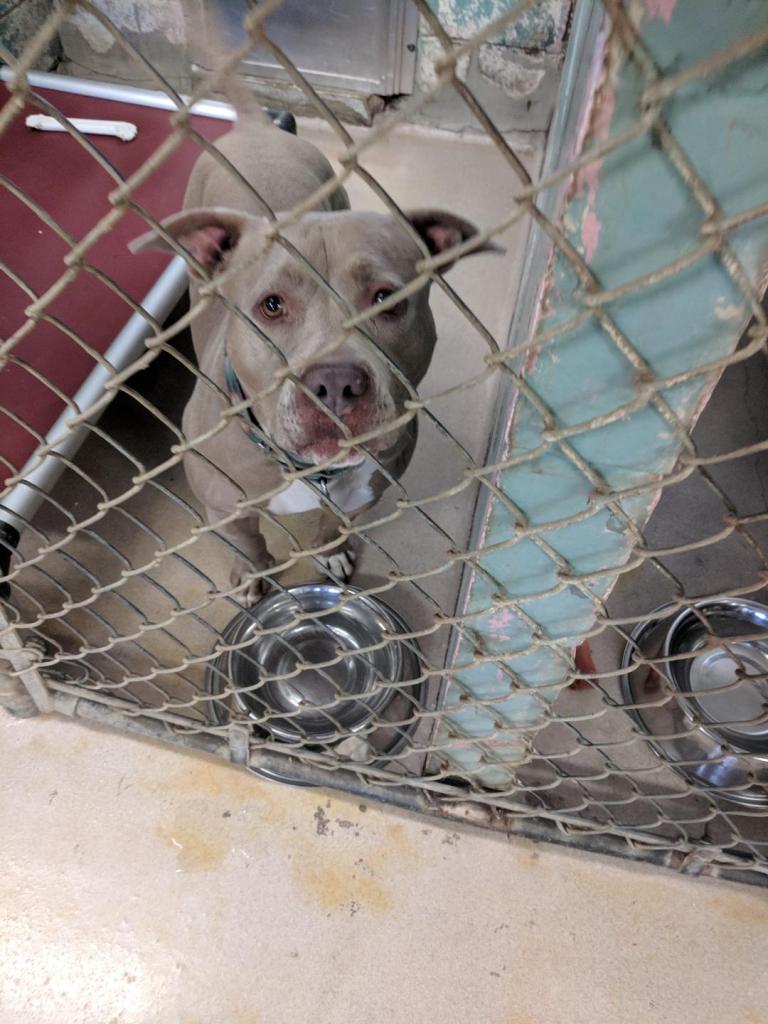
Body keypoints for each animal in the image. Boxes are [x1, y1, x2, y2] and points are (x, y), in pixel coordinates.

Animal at [131, 98, 498, 604]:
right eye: (271, 305)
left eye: (387, 300)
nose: (337, 384)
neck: (312, 472)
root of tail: (256, 127)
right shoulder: (224, 507)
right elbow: (248, 541)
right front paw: (253, 575)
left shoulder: (365, 493)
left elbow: (334, 524)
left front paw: (333, 552)